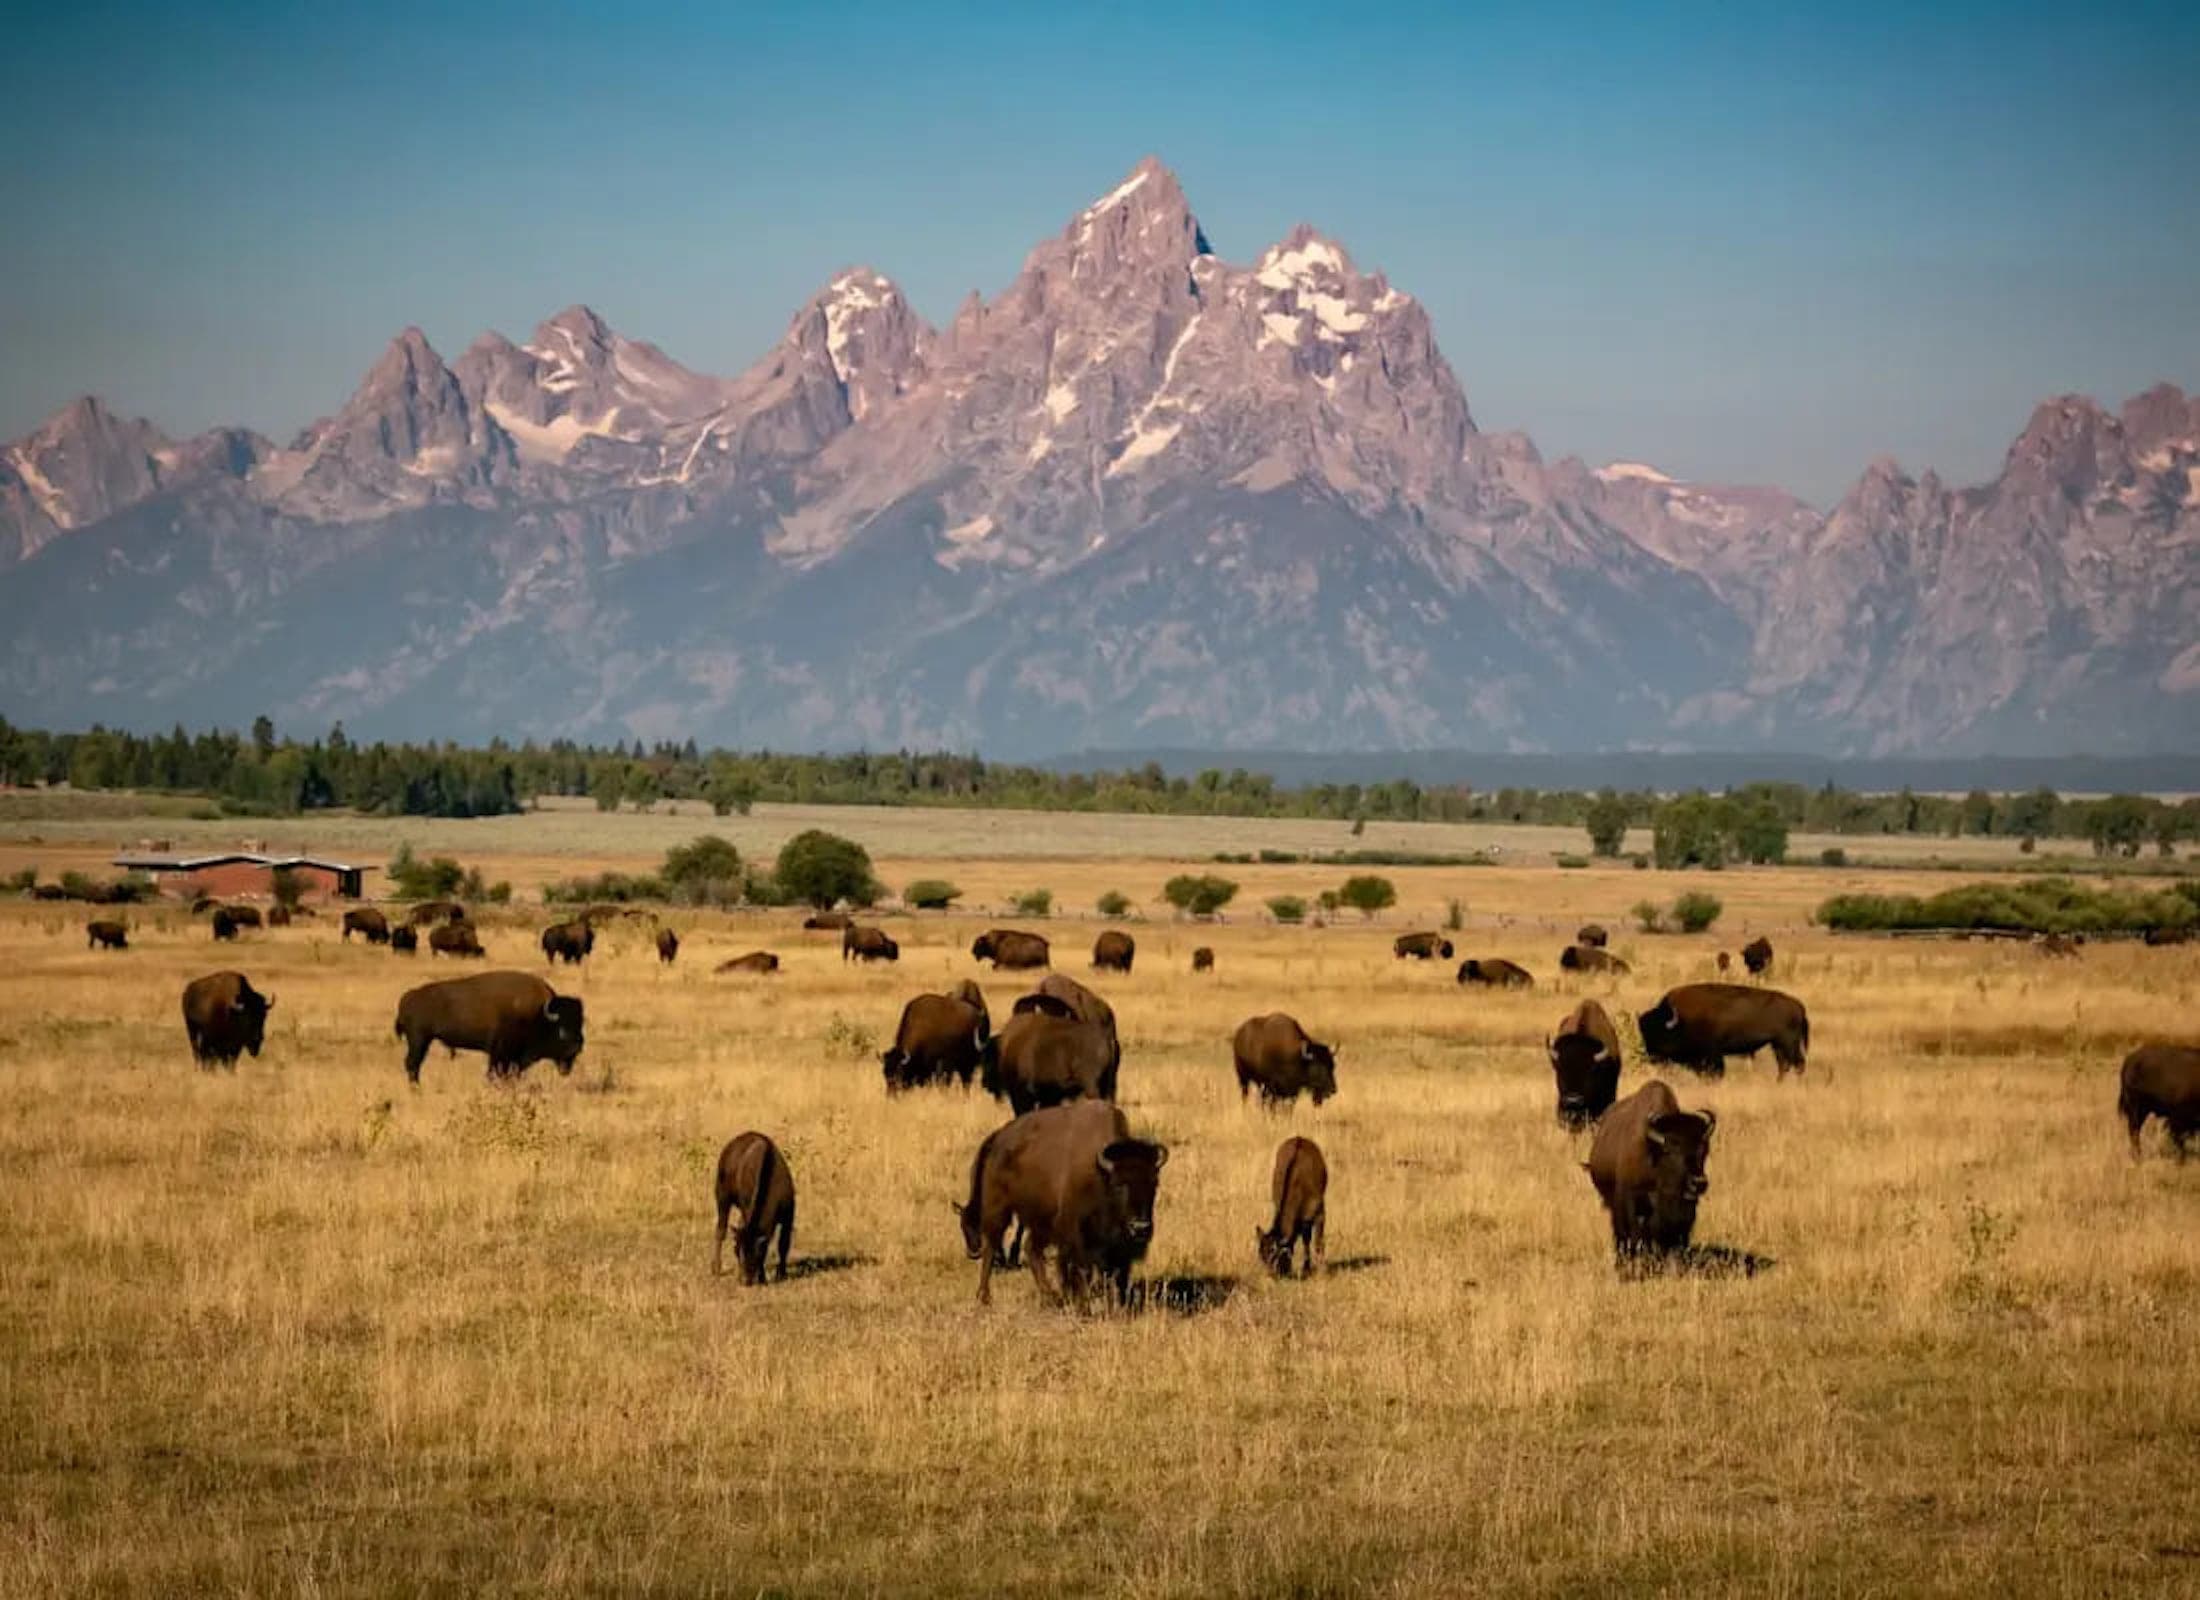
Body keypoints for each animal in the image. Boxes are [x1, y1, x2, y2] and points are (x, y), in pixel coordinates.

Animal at [393, 970, 584, 1083]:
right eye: (562, 1030)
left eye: (580, 1023)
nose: (577, 1047)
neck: (537, 1014)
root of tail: (407, 997)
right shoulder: (500, 1054)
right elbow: (495, 1073)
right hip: (419, 1039)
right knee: (412, 1063)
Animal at [712, 1132, 797, 1283]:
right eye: (737, 1251)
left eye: (756, 1253)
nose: (744, 1280)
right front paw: (763, 1277)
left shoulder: (789, 1215)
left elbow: (783, 1244)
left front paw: (781, 1273)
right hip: (722, 1198)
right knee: (720, 1230)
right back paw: (716, 1267)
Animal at [957, 1099, 1167, 1306]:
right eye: (1119, 1185)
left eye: (1154, 1184)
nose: (1140, 1227)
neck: (1099, 1173)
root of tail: (998, 1139)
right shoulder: (1075, 1234)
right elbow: (1081, 1271)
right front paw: (1083, 1305)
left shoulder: (1116, 1247)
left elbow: (1115, 1273)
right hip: (998, 1209)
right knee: (991, 1247)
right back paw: (984, 1296)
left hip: (1041, 1220)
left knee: (1031, 1249)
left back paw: (1051, 1297)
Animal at [1256, 1136, 1328, 1278]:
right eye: (1261, 1256)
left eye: (1274, 1253)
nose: (1270, 1275)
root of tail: (1300, 1137)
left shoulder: (1320, 1211)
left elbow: (1317, 1242)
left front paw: (1321, 1271)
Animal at [1638, 983, 1809, 1078]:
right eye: (1643, 1033)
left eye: (1659, 1033)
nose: (1651, 1056)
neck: (1681, 1020)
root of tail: (1798, 1006)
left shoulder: (1712, 1054)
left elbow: (1717, 1072)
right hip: (1777, 1044)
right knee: (1784, 1065)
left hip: (1788, 1043)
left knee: (1798, 1064)